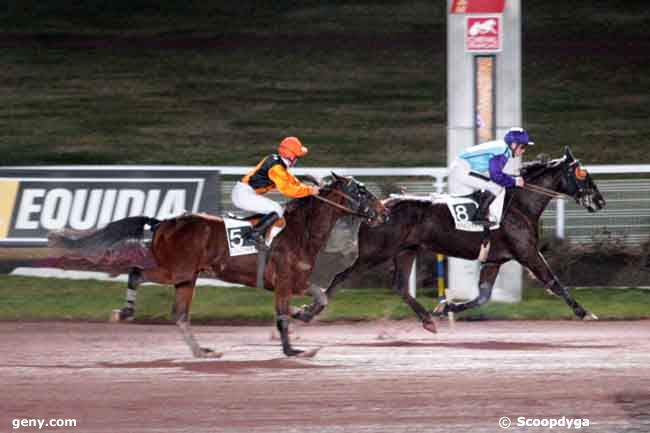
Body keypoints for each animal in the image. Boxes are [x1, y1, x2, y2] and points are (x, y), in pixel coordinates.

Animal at [50, 174, 388, 356]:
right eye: (360, 190)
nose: (384, 211)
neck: (298, 231)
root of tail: (162, 223)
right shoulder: (283, 281)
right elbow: (283, 316)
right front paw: (291, 348)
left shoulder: (297, 281)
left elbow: (320, 297)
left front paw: (303, 313)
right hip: (176, 270)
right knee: (136, 273)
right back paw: (125, 311)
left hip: (186, 278)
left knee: (179, 314)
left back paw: (200, 351)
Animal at [322, 147, 604, 330]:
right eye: (582, 174)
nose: (600, 201)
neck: (519, 205)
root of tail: (376, 209)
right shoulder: (528, 253)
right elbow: (554, 282)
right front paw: (585, 312)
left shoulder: (495, 260)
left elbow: (482, 296)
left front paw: (443, 308)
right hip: (374, 253)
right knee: (340, 276)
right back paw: (314, 307)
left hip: (406, 250)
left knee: (401, 286)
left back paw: (427, 319)